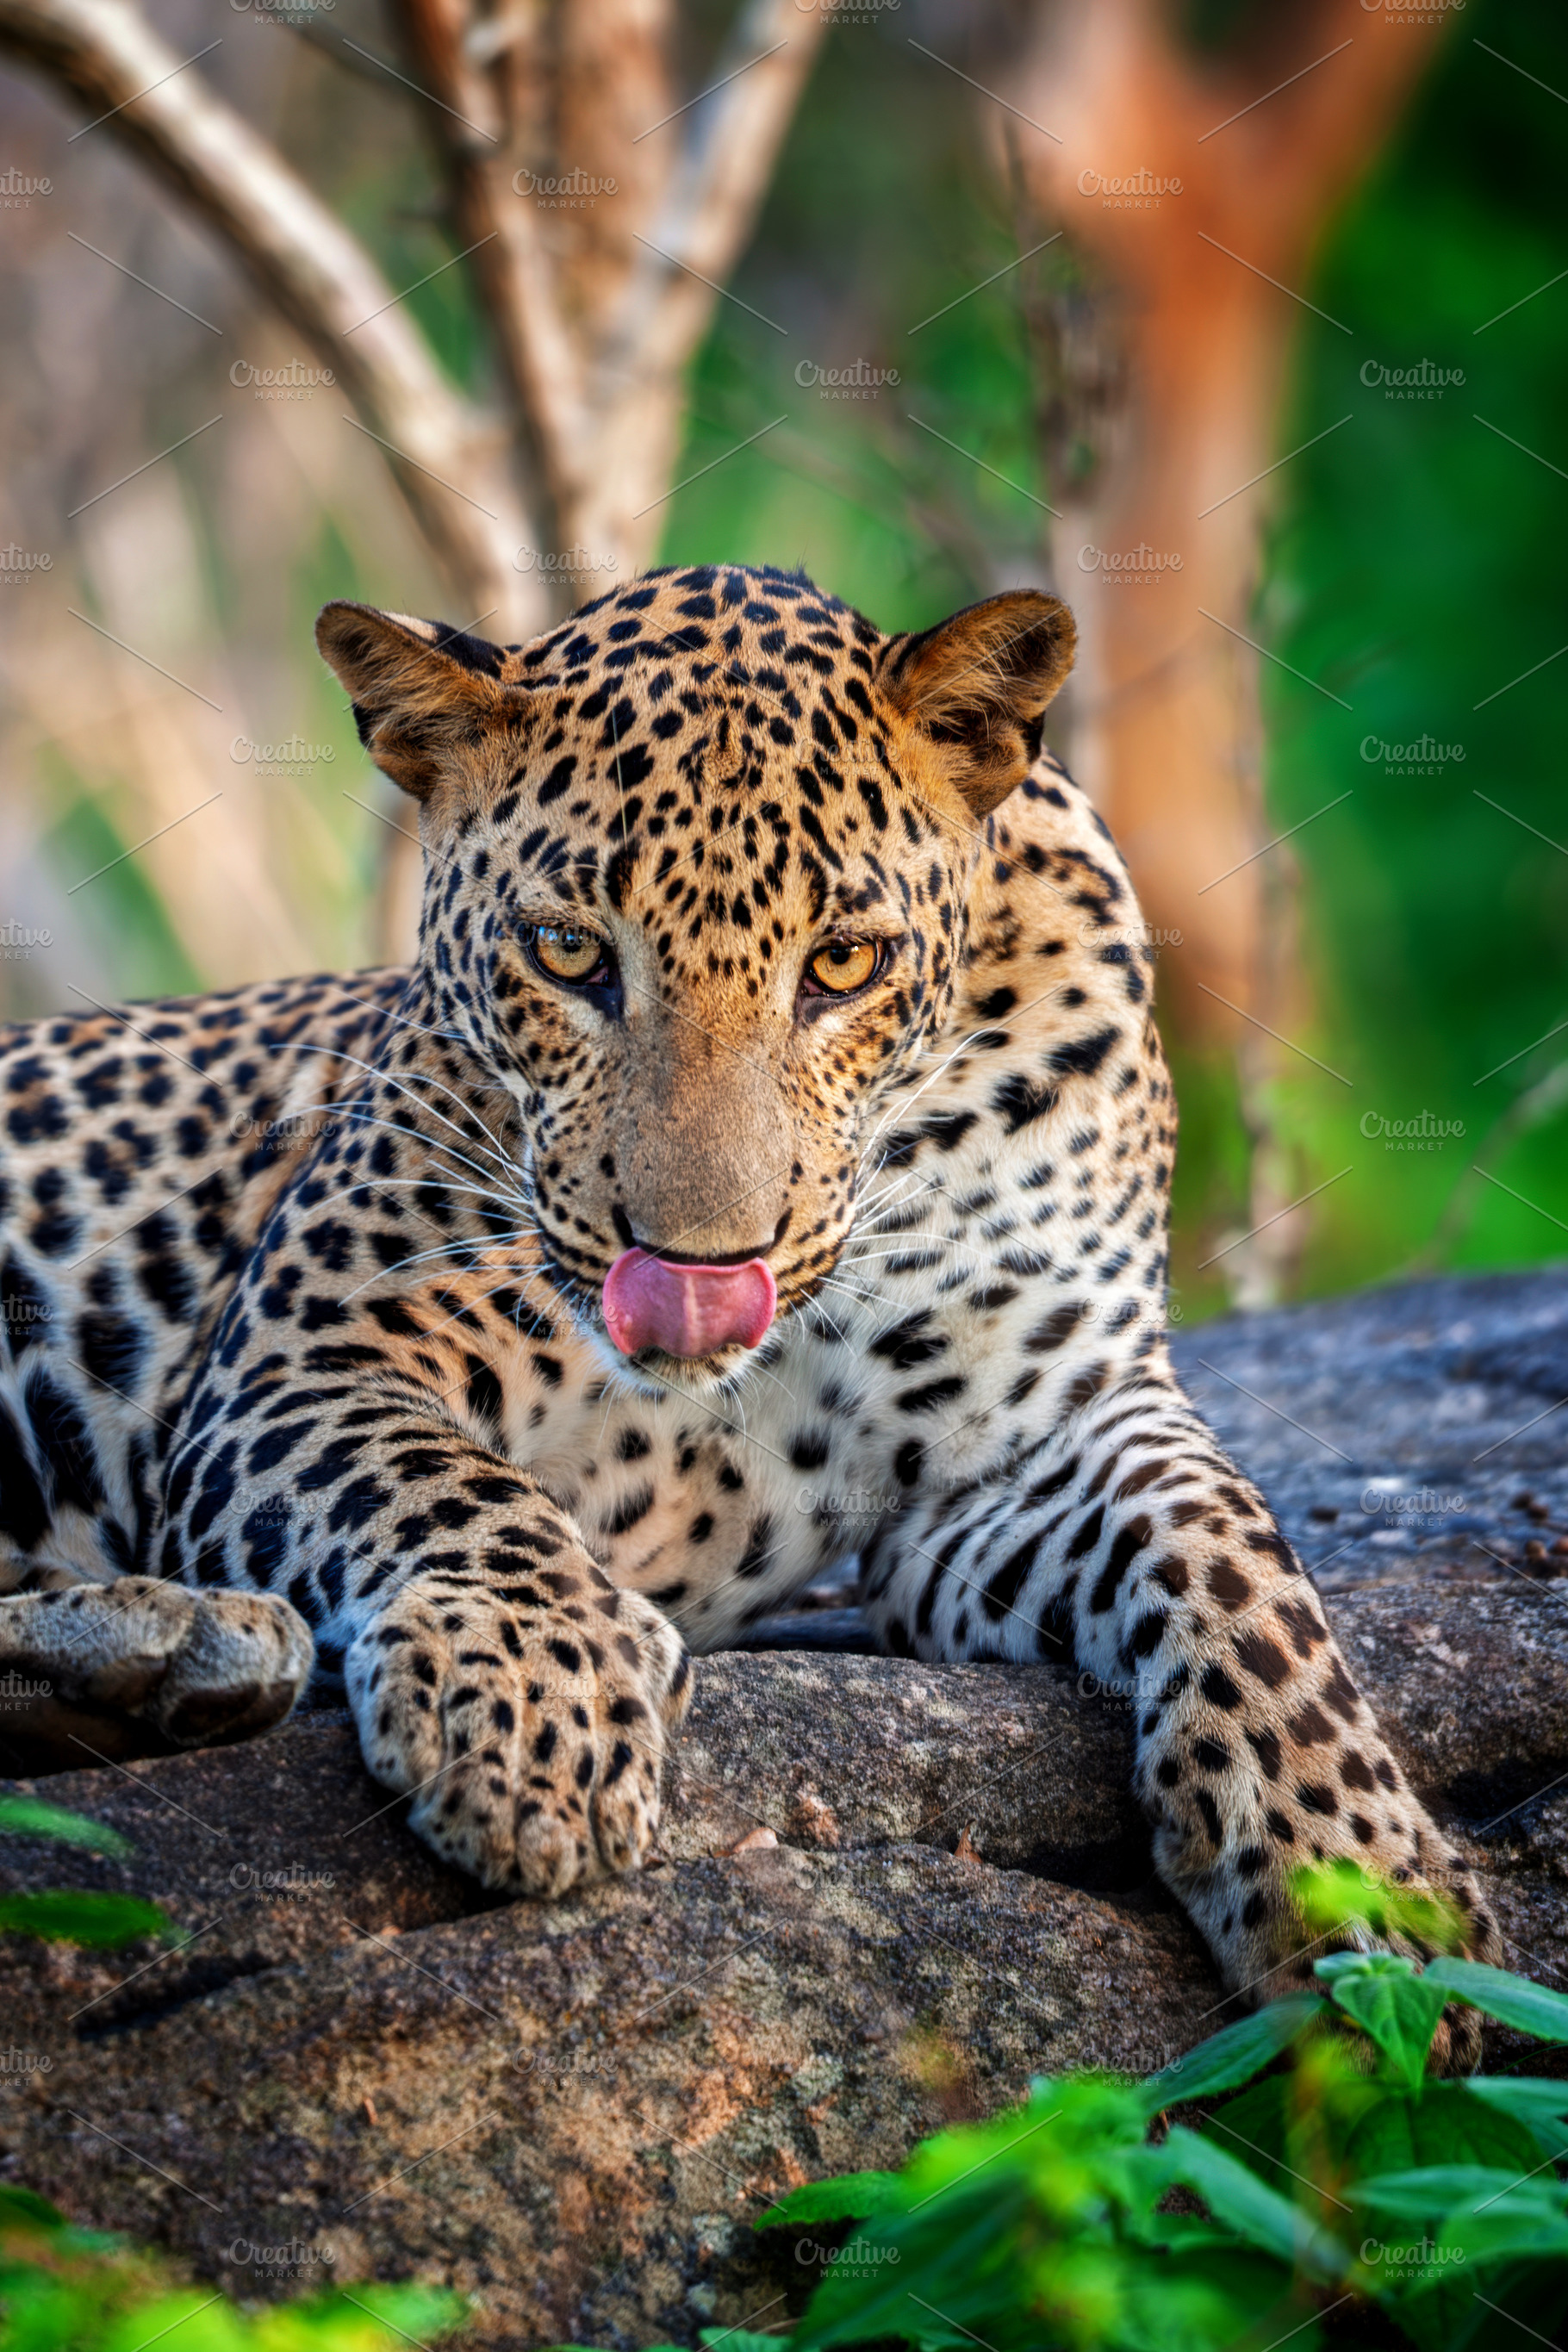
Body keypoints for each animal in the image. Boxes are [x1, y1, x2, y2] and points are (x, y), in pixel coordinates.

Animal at [0, 561, 1498, 2055]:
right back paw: (181, 1645)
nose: (699, 1269)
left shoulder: (1033, 1440)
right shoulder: (303, 1362)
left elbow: (1232, 1546)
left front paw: (1359, 1872)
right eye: (566, 952)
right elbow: (446, 1482)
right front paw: (538, 1699)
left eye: (841, 964)